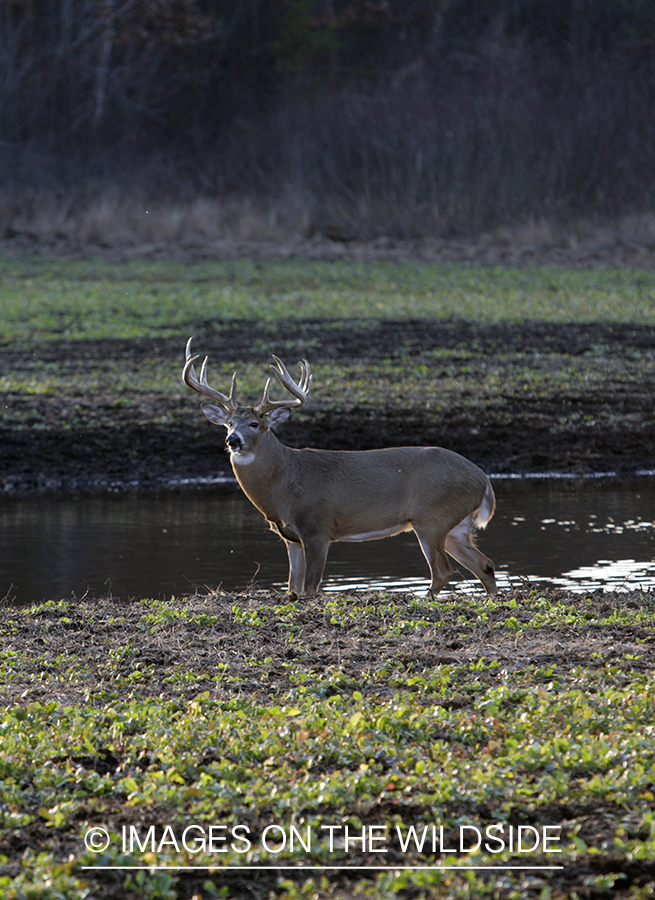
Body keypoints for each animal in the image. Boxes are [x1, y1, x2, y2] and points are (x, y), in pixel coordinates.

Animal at [181, 342, 498, 600]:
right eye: (228, 424)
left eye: (255, 424)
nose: (233, 441)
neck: (286, 481)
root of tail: (483, 479)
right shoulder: (290, 537)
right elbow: (292, 587)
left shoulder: (317, 528)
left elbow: (310, 588)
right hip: (455, 525)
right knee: (485, 564)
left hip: (431, 517)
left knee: (443, 571)